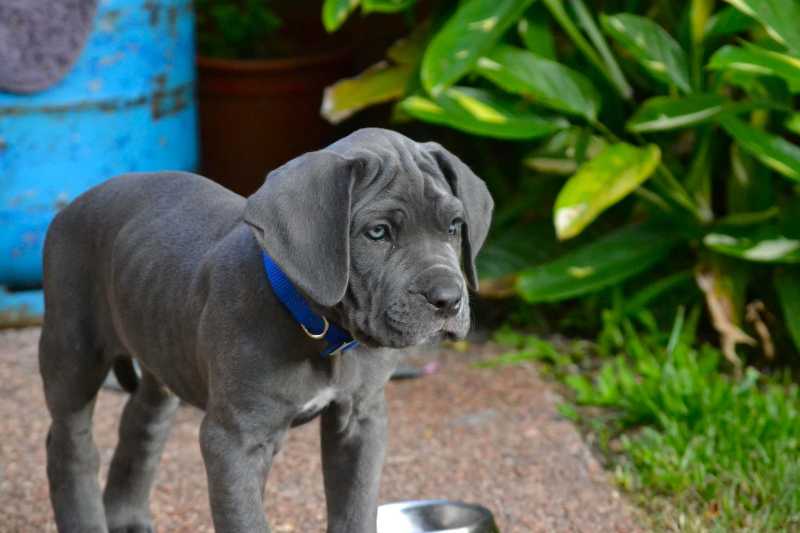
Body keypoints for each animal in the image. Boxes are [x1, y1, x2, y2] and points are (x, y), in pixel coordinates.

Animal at [42, 127, 494, 528]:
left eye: (454, 226)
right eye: (378, 233)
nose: (448, 298)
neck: (320, 330)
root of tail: (75, 202)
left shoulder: (361, 419)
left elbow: (355, 509)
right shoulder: (234, 442)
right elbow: (246, 519)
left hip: (159, 349)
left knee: (141, 425)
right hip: (72, 350)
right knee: (70, 446)